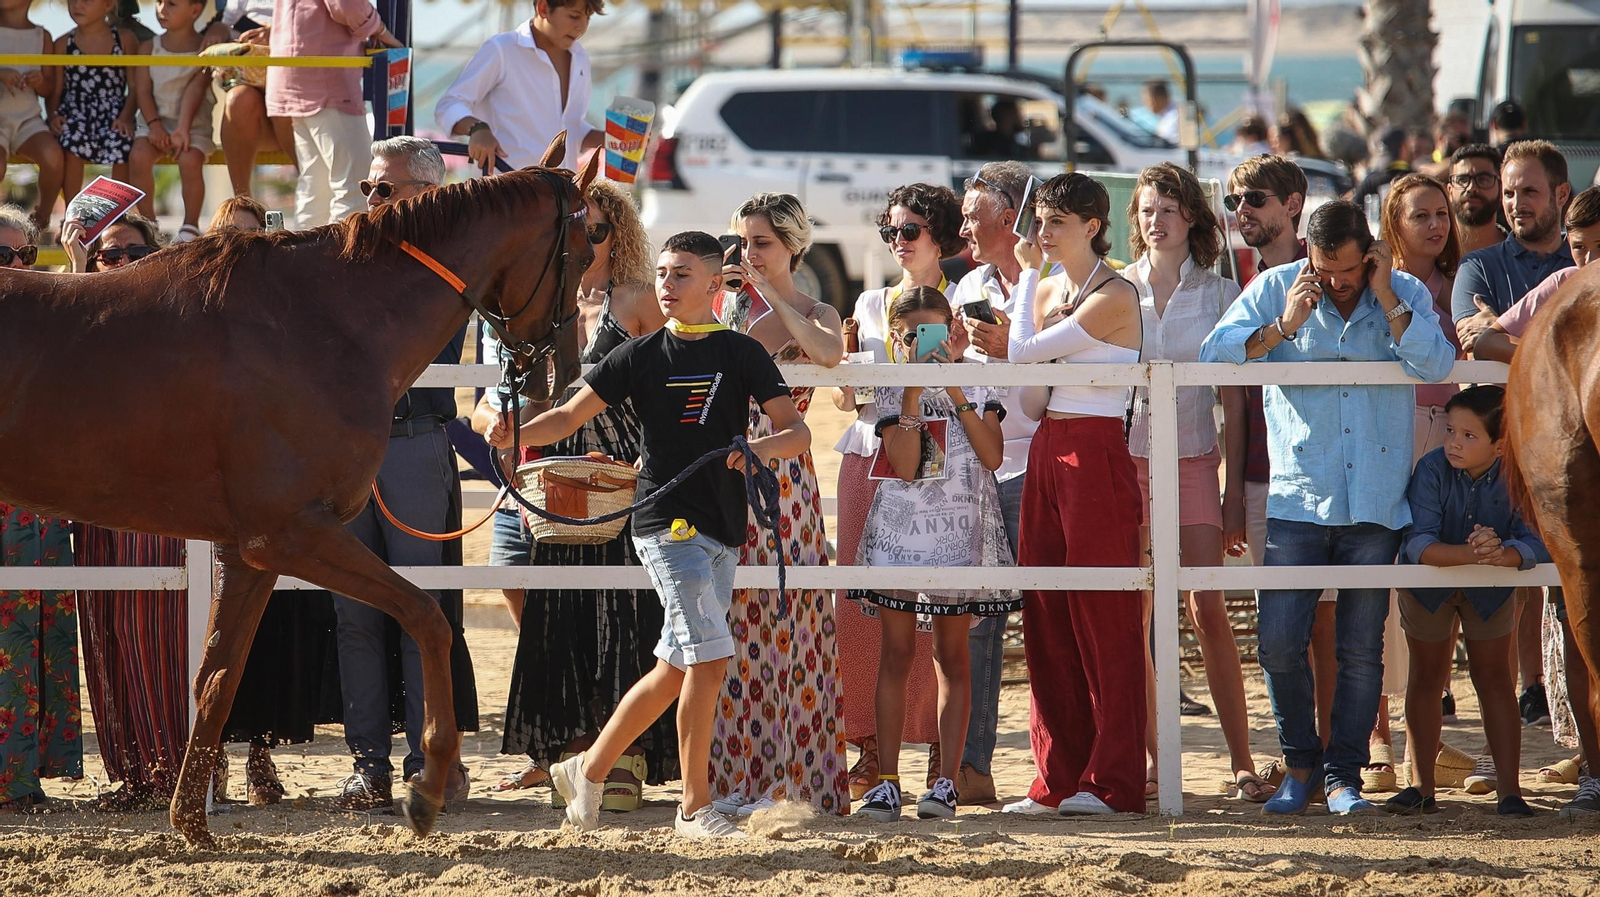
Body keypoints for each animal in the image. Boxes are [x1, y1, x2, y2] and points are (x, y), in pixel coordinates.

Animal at [0, 134, 596, 846]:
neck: (328, 320)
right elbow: (426, 617)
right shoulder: (291, 535)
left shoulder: (248, 553)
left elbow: (217, 679)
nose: (561, 373)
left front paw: (191, 826)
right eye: (585, 249)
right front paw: (426, 788)